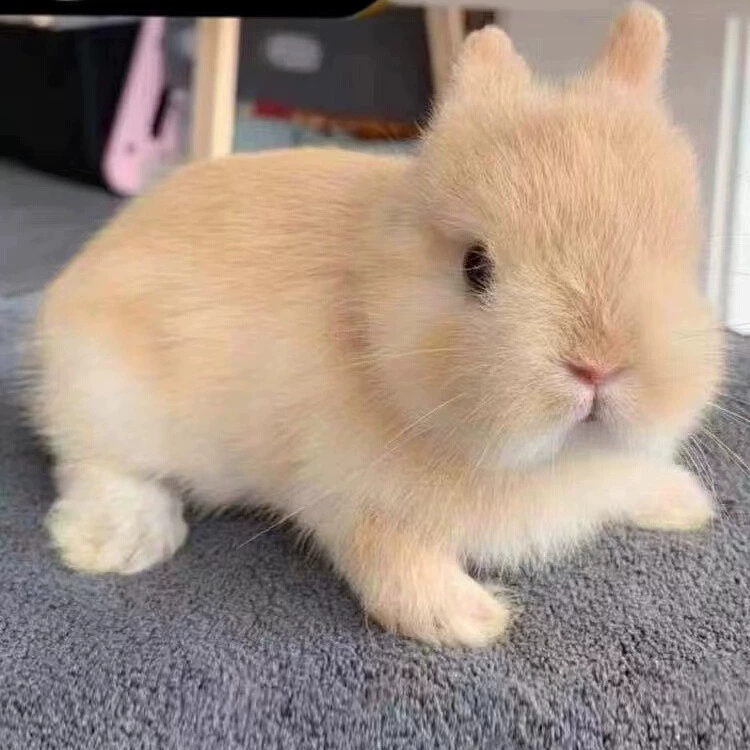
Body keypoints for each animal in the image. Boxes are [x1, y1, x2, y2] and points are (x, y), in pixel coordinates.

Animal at [28, 1, 723, 647]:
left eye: (674, 259)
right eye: (475, 267)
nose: (597, 364)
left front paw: (686, 503)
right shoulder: (348, 495)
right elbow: (390, 557)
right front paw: (468, 619)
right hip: (108, 396)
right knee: (96, 465)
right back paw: (120, 544)